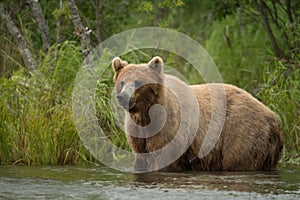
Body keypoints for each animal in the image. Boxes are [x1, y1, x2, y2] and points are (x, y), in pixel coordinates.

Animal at [112, 55, 284, 172]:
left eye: (138, 82)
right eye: (122, 82)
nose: (122, 97)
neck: (146, 114)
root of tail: (274, 117)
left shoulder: (171, 127)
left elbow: (163, 156)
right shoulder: (137, 133)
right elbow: (141, 156)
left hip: (242, 133)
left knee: (238, 160)